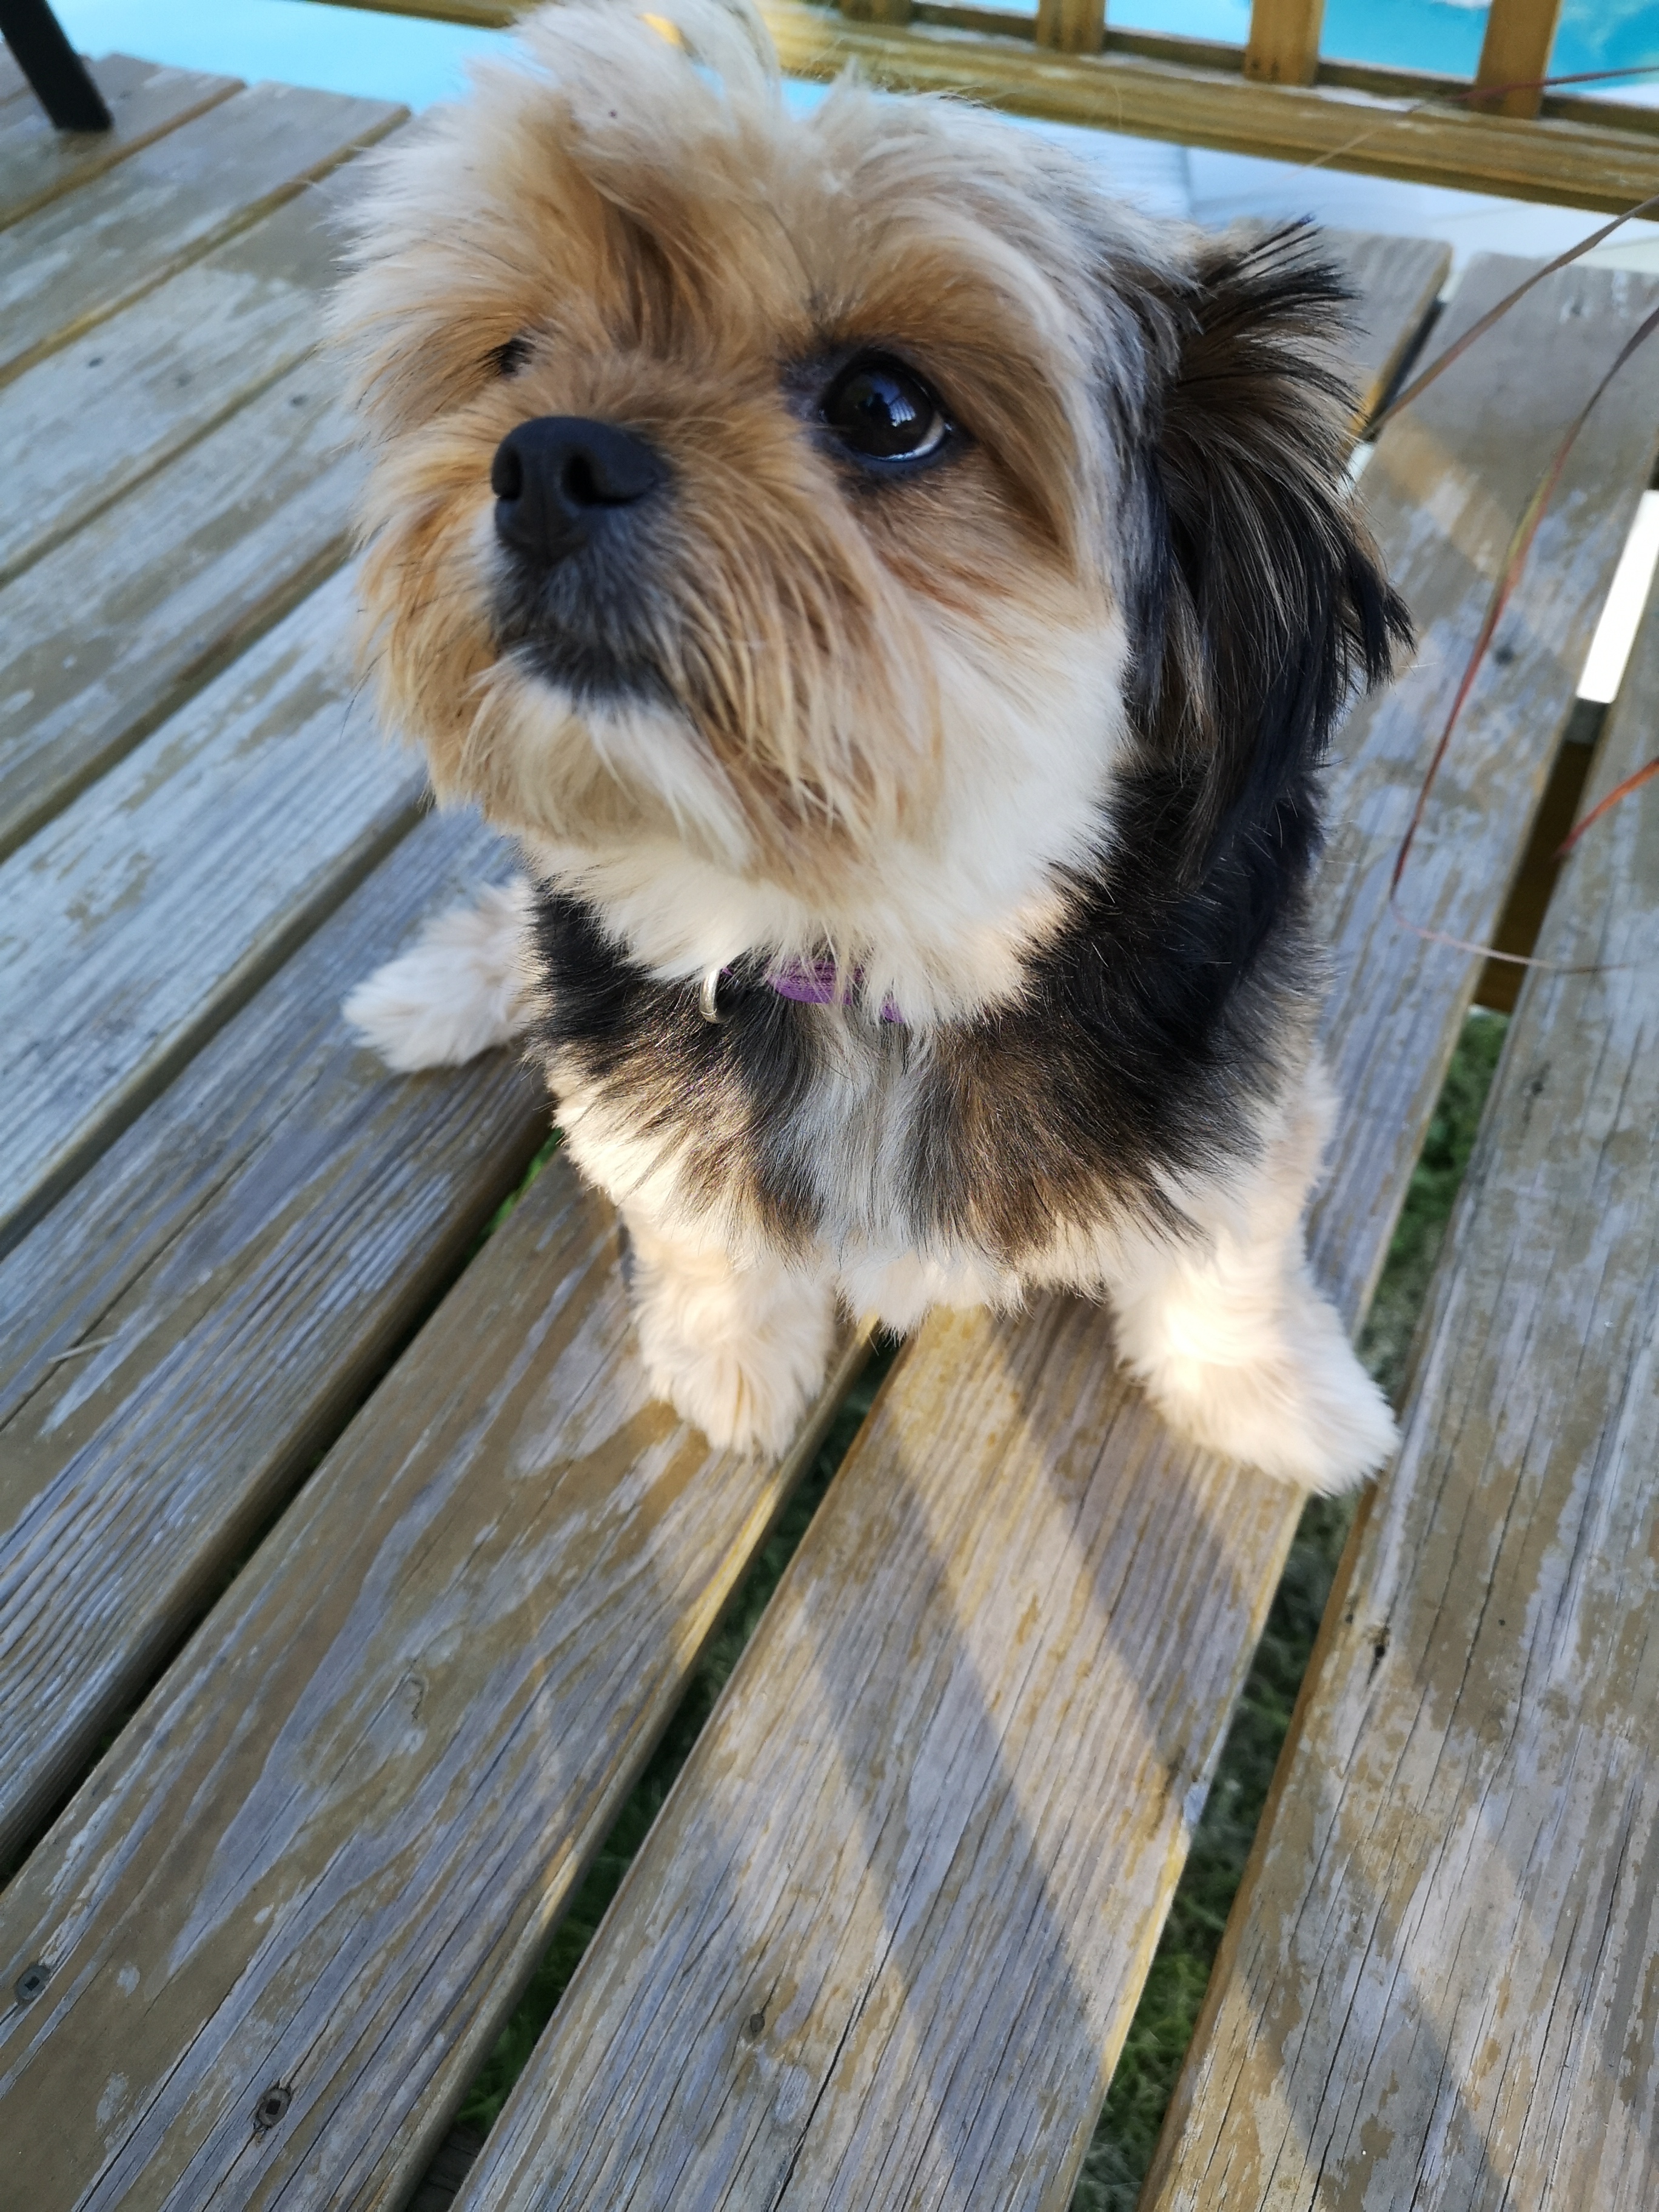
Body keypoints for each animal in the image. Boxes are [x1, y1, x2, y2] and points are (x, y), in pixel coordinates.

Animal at [333, 0, 1408, 1490]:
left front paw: (1274, 1391)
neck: (872, 958)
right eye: (514, 359)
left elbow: (1228, 1257)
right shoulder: (640, 1107)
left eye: (887, 410)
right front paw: (730, 1351)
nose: (544, 459)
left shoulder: (1244, 1094)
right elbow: (698, 1225)